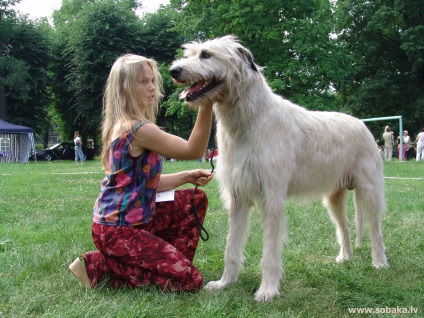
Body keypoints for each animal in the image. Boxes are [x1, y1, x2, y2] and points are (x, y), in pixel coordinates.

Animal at [169, 36, 388, 302]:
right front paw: (225, 282)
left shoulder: (272, 197)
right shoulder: (237, 197)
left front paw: (268, 290)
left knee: (375, 228)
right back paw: (345, 257)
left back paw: (379, 262)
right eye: (190, 53)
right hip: (334, 195)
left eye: (206, 54)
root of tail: (362, 124)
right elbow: (231, 246)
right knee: (344, 224)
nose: (173, 71)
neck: (249, 118)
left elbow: (270, 249)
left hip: (369, 189)